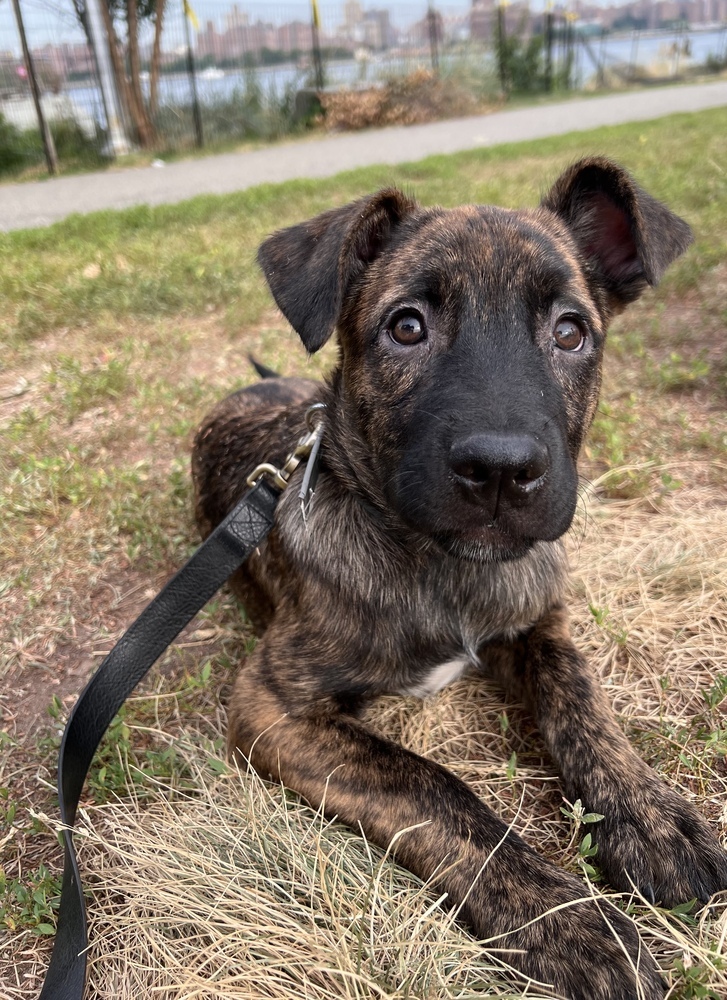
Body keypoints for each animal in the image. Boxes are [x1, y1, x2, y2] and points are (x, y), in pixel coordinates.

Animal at [191, 156, 724, 1000]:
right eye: (406, 326)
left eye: (570, 331)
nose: (501, 470)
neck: (441, 568)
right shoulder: (271, 705)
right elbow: (430, 786)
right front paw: (563, 918)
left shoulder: (541, 621)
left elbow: (579, 701)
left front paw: (648, 818)